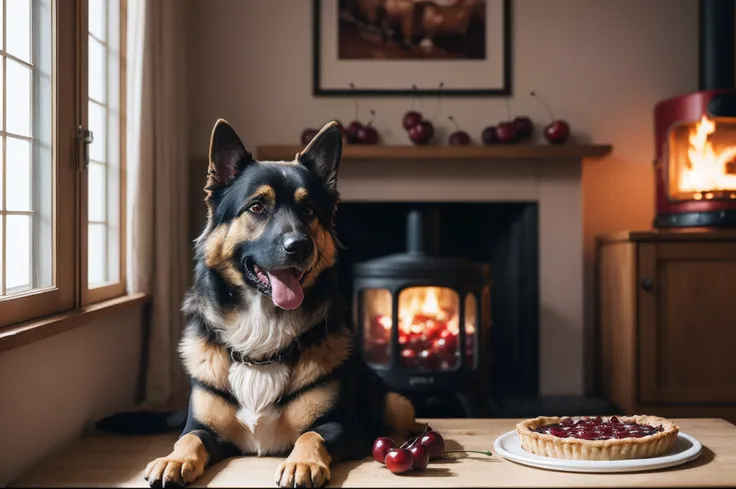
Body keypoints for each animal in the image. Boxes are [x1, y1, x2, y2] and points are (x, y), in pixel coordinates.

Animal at [97, 120, 420, 486]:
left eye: (308, 210)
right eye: (256, 207)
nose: (300, 246)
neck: (262, 334)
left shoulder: (348, 429)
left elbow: (311, 435)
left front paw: (302, 463)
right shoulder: (202, 428)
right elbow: (188, 439)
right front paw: (173, 459)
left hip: (398, 405)